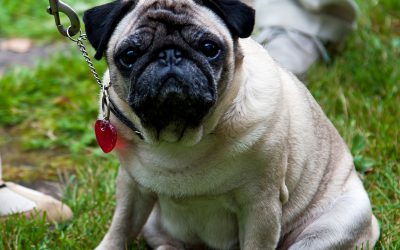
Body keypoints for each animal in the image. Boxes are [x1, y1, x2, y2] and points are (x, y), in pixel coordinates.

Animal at [83, 0, 378, 250]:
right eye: (130, 55)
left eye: (209, 48)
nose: (169, 55)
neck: (177, 138)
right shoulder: (132, 189)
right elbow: (120, 227)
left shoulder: (260, 207)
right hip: (154, 225)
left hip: (335, 226)